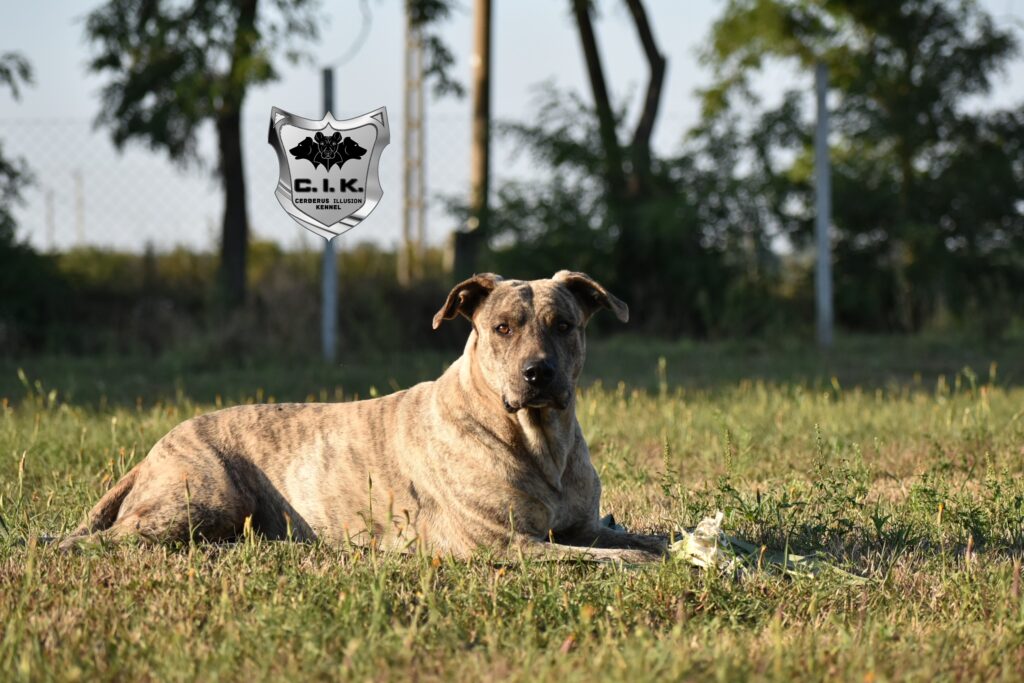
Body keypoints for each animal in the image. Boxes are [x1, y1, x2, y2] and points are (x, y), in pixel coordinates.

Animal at [64, 270, 671, 565]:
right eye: (502, 328)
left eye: (564, 325)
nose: (537, 374)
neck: (540, 441)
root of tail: (153, 452)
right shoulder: (503, 543)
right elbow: (614, 560)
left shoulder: (584, 525)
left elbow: (648, 541)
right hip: (202, 499)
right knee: (108, 539)